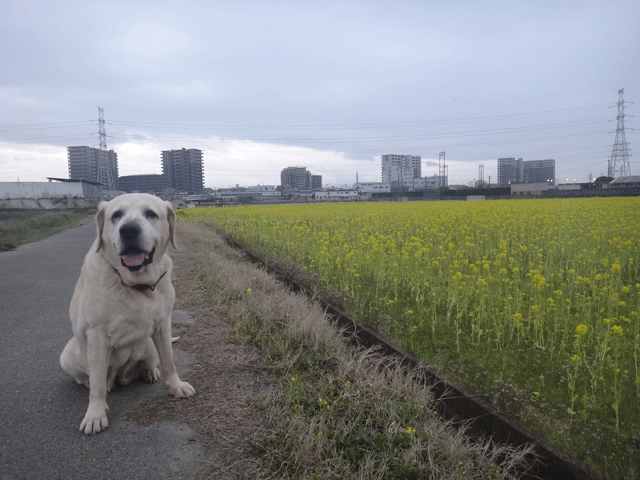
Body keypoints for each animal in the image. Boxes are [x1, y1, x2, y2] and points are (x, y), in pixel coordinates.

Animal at [60, 192, 195, 436]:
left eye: (150, 213)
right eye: (117, 215)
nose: (129, 230)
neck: (136, 284)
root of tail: (121, 378)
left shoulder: (163, 324)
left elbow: (169, 361)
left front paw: (176, 386)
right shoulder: (96, 336)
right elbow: (96, 384)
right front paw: (95, 414)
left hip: (148, 345)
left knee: (150, 362)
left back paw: (150, 372)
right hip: (67, 354)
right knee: (91, 379)